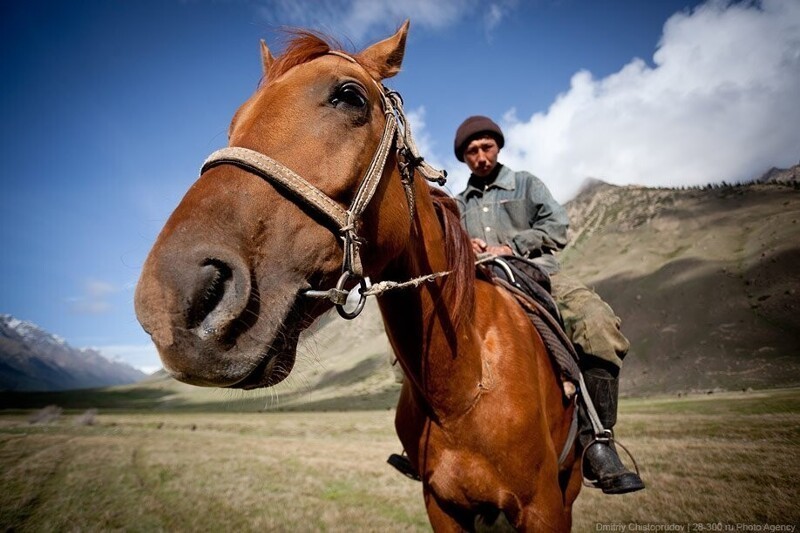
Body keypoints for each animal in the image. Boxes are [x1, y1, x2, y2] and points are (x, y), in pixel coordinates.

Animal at [134, 21, 580, 532]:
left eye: (349, 96)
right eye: (236, 121)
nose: (173, 296)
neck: (463, 384)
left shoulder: (544, 507)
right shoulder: (442, 506)